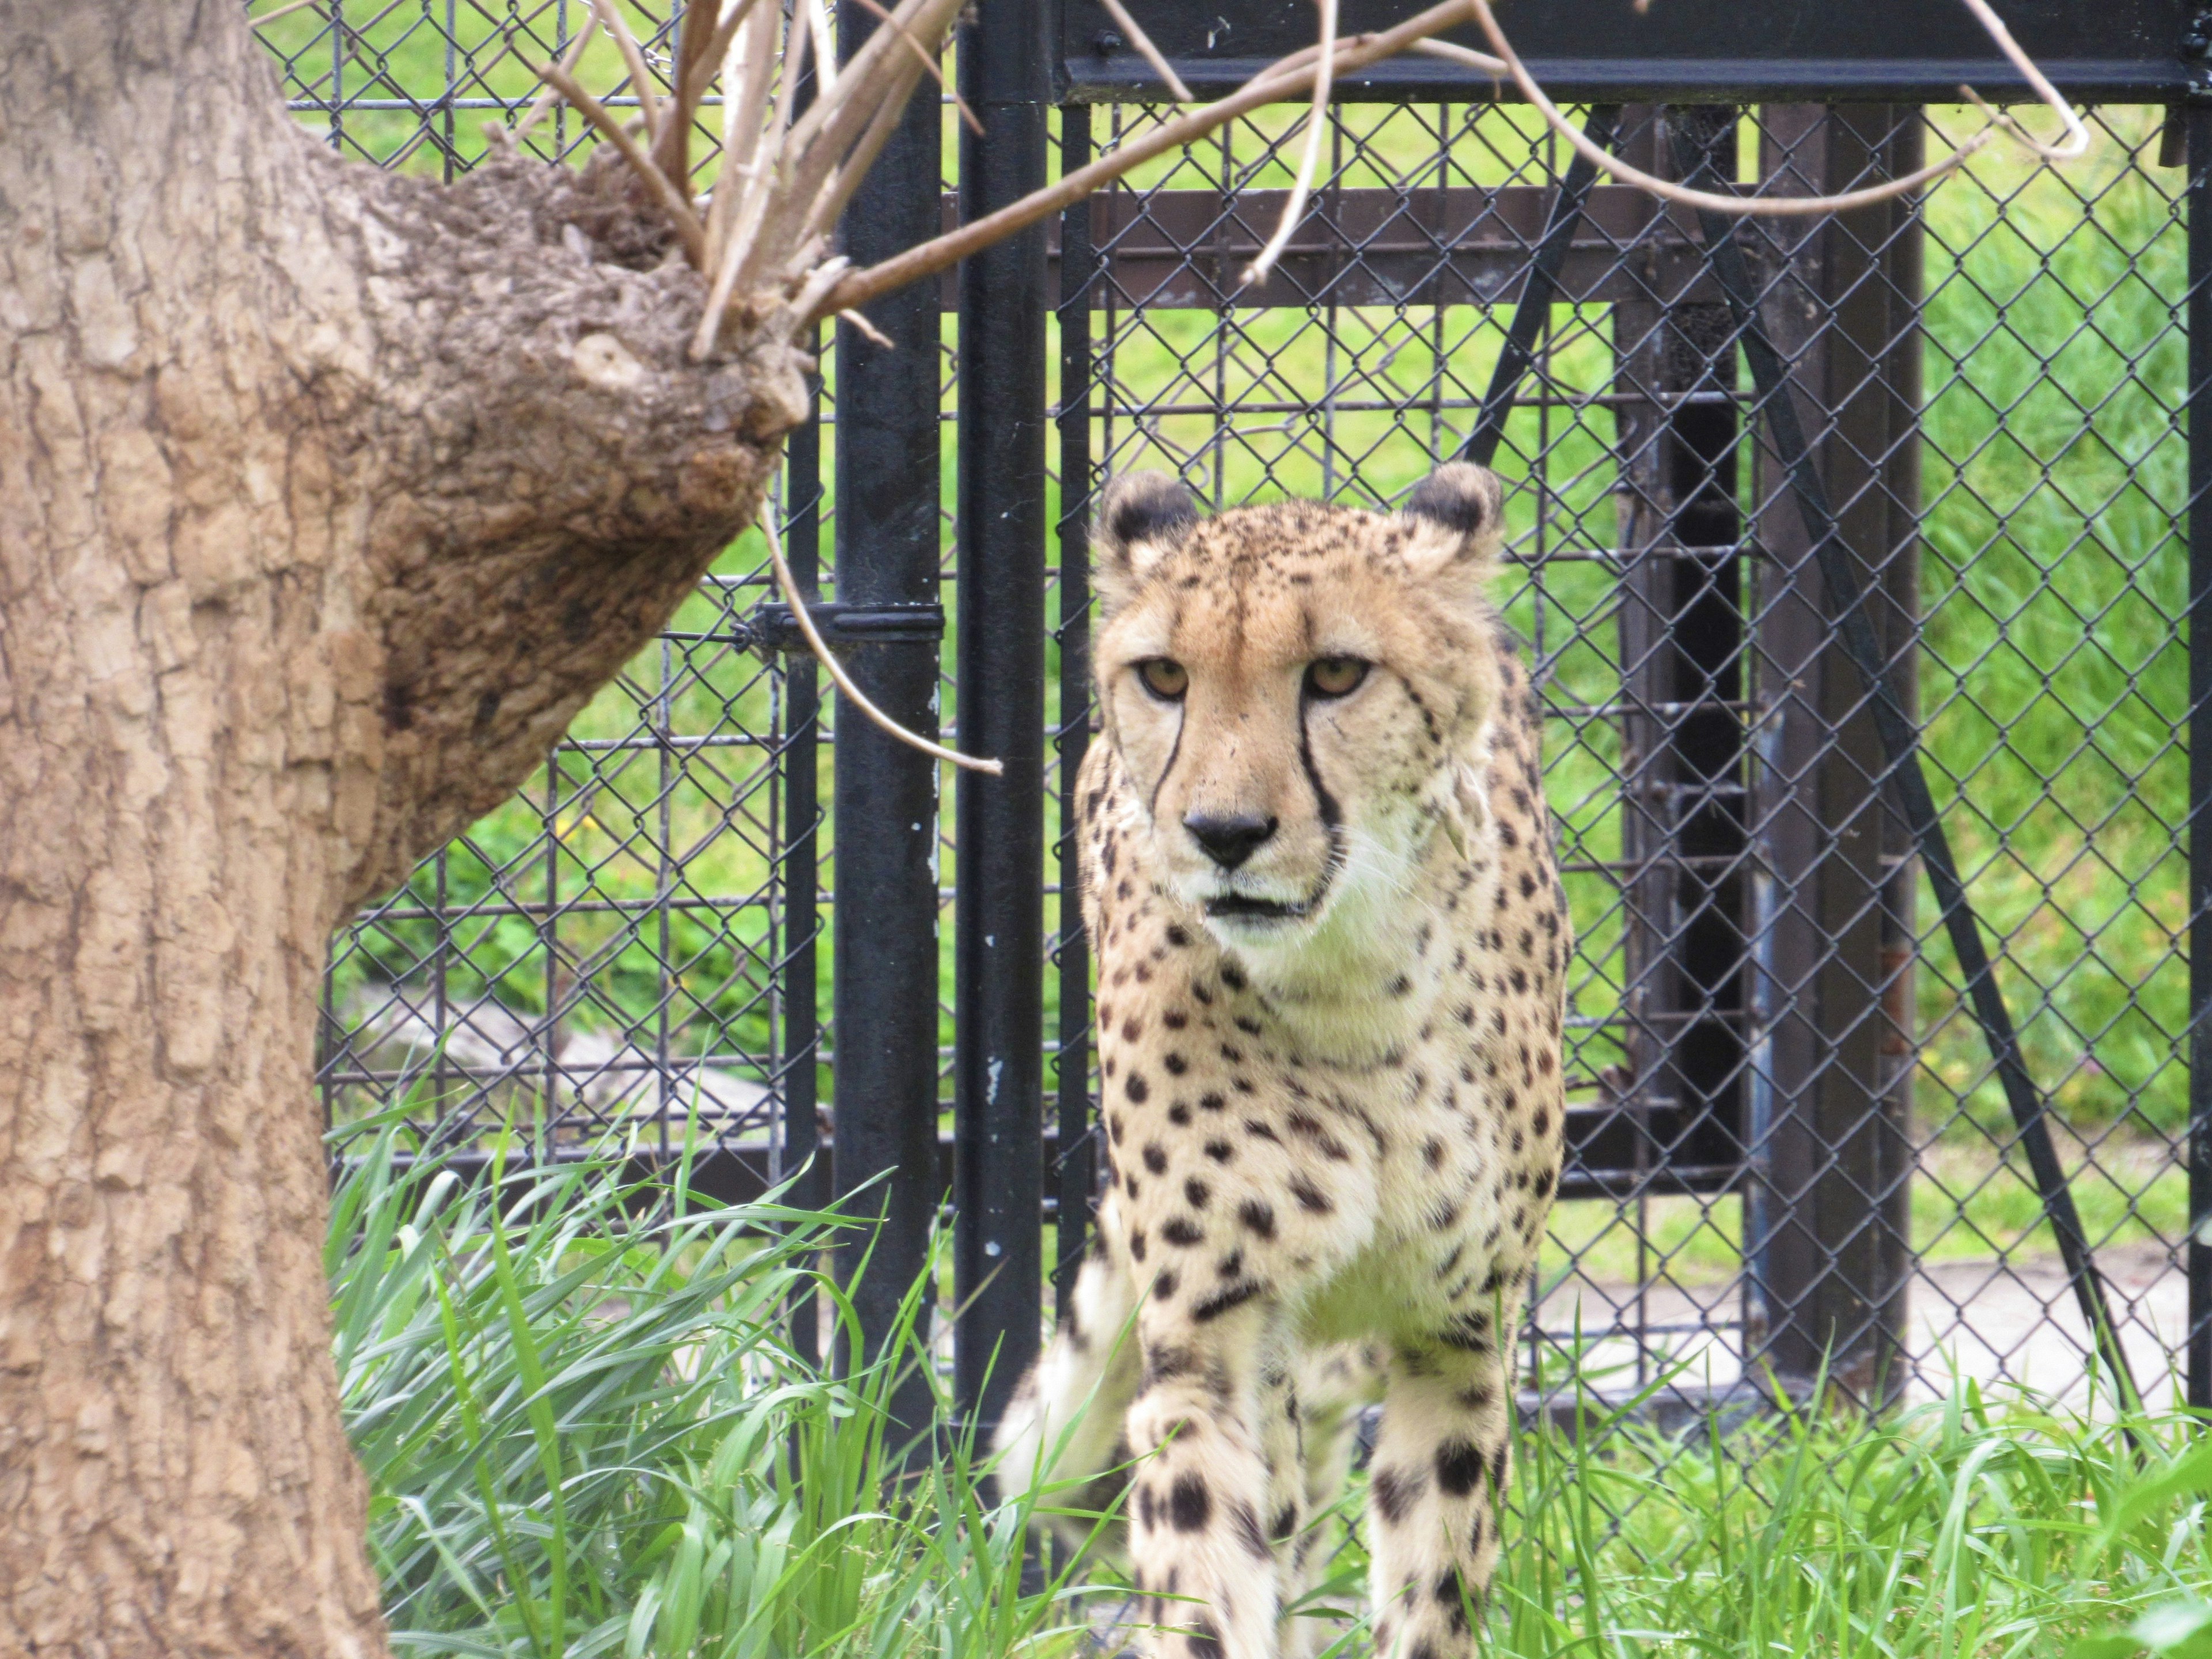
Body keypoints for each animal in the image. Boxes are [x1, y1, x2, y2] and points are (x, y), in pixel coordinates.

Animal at [1004, 464, 1575, 1659]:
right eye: (1165, 676)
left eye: (1338, 674)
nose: (1224, 833)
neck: (1355, 987)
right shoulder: (1208, 1343)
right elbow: (1207, 1570)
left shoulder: (1456, 1338)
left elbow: (1435, 1588)